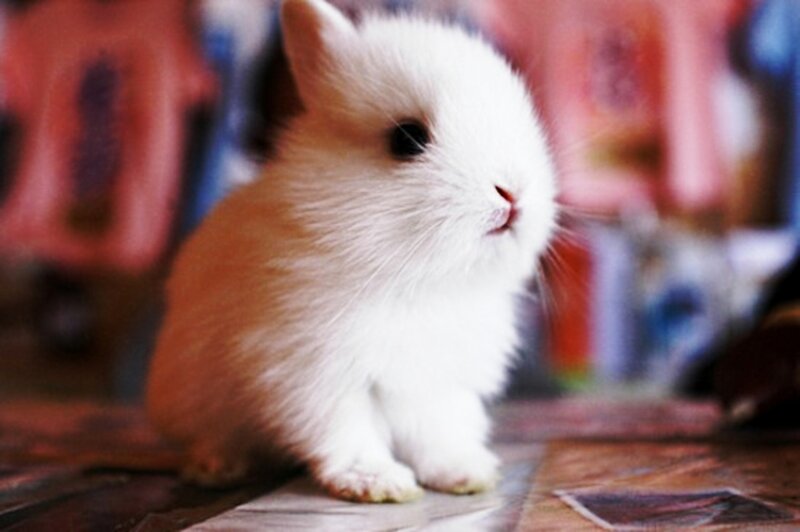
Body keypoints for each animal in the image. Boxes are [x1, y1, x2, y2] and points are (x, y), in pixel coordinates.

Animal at [146, 0, 557, 503]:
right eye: (407, 139)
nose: (513, 193)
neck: (421, 282)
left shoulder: (434, 389)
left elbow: (436, 437)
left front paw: (465, 474)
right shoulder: (312, 373)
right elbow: (345, 435)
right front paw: (377, 483)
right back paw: (216, 468)